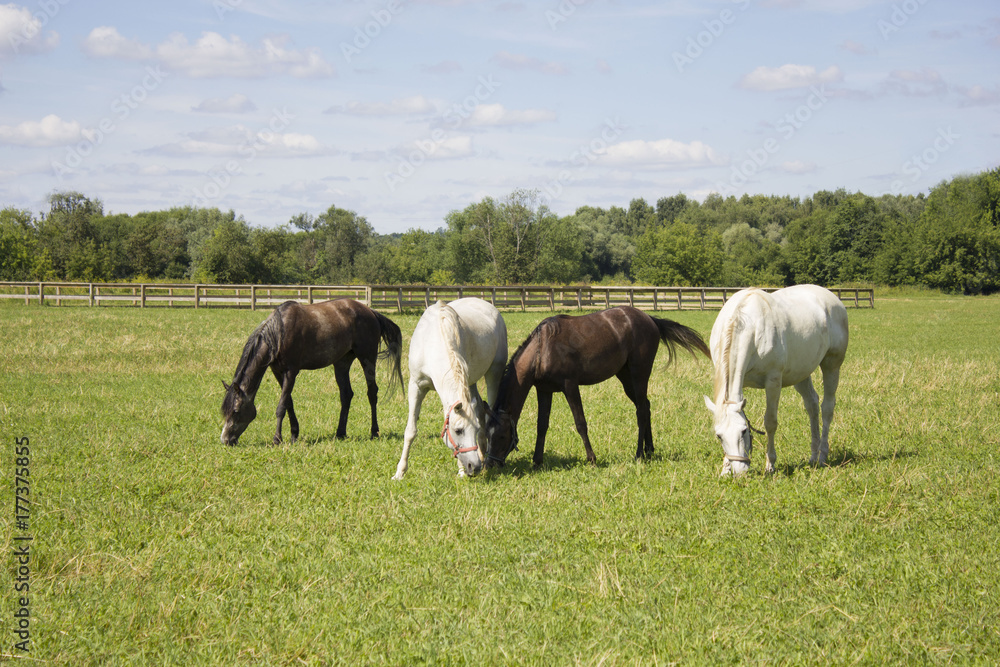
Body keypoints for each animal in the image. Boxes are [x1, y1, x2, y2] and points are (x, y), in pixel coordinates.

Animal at [222, 298, 402, 446]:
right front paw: (294, 434)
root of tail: (372, 312)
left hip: (367, 358)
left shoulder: (291, 372)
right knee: (346, 395)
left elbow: (281, 406)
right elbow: (288, 402)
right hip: (341, 363)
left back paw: (374, 432)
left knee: (372, 393)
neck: (279, 332)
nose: (225, 440)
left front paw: (277, 439)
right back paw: (340, 433)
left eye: (236, 411)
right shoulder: (278, 372)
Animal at [390, 298, 508, 480]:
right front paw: (400, 472)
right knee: (481, 410)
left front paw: (461, 470)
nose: (474, 467)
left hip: (494, 375)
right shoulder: (416, 386)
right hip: (471, 383)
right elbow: (410, 431)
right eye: (458, 431)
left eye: (473, 430)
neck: (433, 342)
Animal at [484, 308, 712, 470]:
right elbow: (542, 426)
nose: (490, 464)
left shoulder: (570, 386)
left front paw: (592, 459)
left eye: (502, 436)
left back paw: (639, 453)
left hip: (639, 375)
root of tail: (649, 318)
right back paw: (649, 450)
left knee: (640, 410)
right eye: (487, 434)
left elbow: (580, 423)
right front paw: (537, 461)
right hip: (625, 378)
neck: (542, 349)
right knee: (645, 406)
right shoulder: (544, 390)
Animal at [704, 284, 852, 478]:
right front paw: (725, 468)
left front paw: (770, 464)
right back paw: (813, 456)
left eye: (744, 430)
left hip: (832, 366)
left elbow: (770, 422)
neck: (749, 324)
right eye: (719, 436)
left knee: (827, 407)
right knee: (812, 404)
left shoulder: (773, 381)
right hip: (801, 373)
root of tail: (833, 299)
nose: (741, 471)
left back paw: (822, 456)